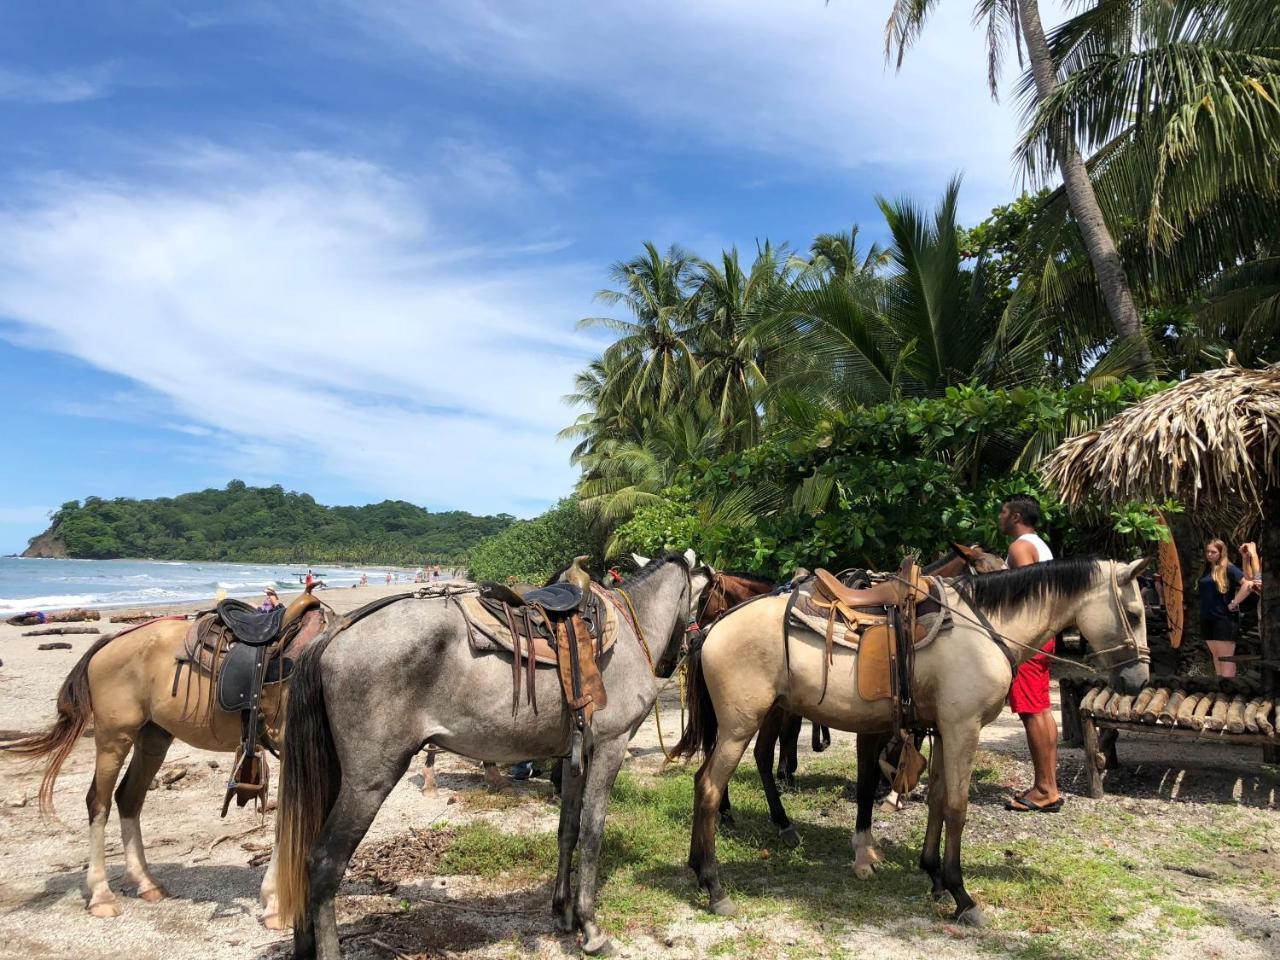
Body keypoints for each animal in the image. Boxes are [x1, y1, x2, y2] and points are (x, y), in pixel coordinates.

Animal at [2, 591, 330, 926]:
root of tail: (109, 643)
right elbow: (288, 823)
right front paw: (277, 905)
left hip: (153, 739)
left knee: (128, 798)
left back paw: (145, 883)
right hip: (113, 739)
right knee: (98, 803)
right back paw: (101, 895)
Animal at [273, 552, 711, 957]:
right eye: (710, 594)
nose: (694, 646)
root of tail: (338, 630)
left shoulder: (575, 757)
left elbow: (568, 829)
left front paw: (564, 912)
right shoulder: (610, 747)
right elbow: (591, 833)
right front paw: (590, 926)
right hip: (368, 783)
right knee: (323, 863)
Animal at [680, 560, 1152, 926]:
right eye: (1133, 613)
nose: (1139, 679)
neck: (985, 630)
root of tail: (712, 629)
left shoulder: (943, 730)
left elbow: (939, 799)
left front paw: (935, 877)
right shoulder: (963, 728)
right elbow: (958, 806)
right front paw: (962, 896)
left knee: (710, 779)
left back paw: (700, 868)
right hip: (740, 726)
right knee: (710, 787)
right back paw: (716, 887)